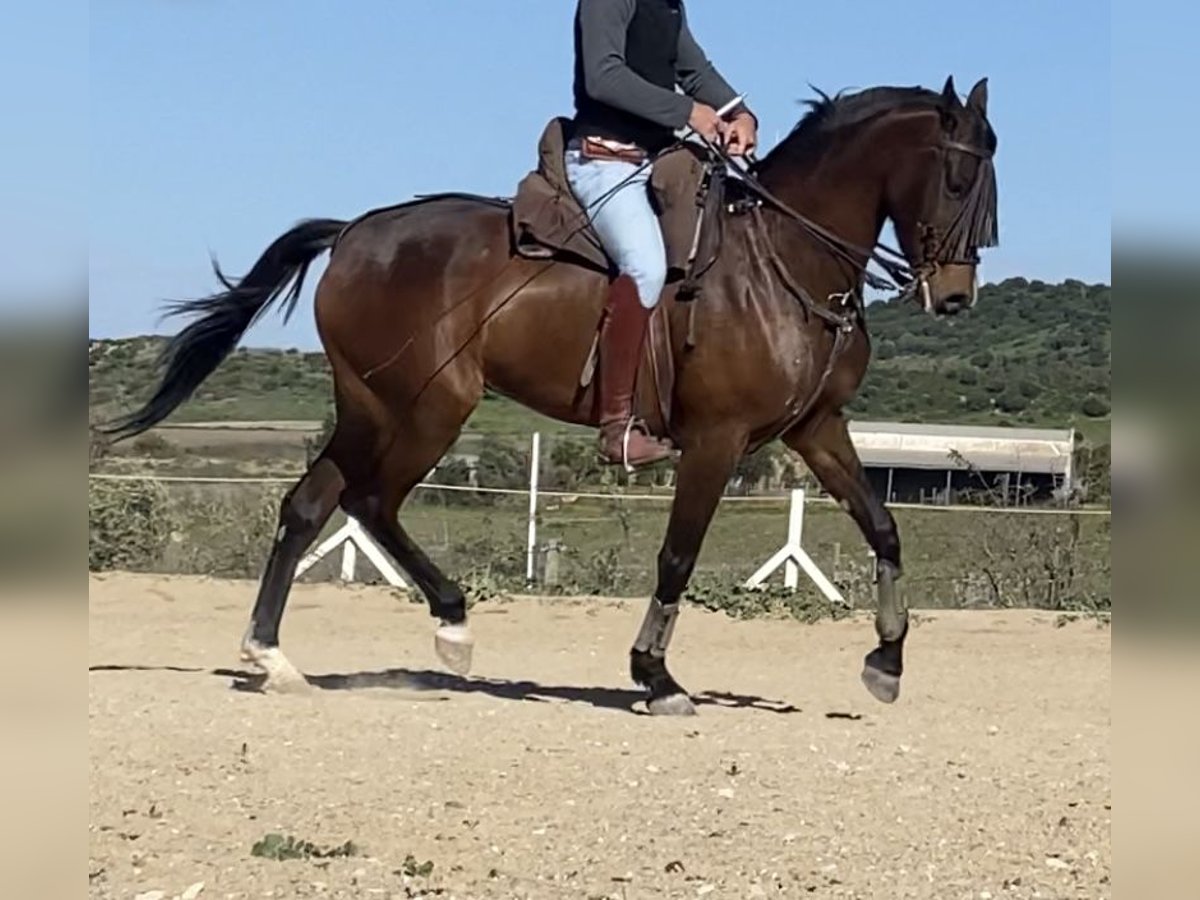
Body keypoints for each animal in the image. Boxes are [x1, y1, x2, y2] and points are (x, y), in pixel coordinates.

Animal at [108, 75, 998, 710]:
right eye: (958, 177)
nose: (956, 296)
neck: (786, 259)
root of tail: (356, 232)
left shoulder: (815, 427)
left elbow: (883, 527)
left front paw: (886, 661)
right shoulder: (716, 440)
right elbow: (678, 554)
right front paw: (654, 676)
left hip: (374, 407)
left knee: (312, 502)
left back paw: (276, 656)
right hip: (424, 408)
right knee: (367, 501)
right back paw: (449, 626)